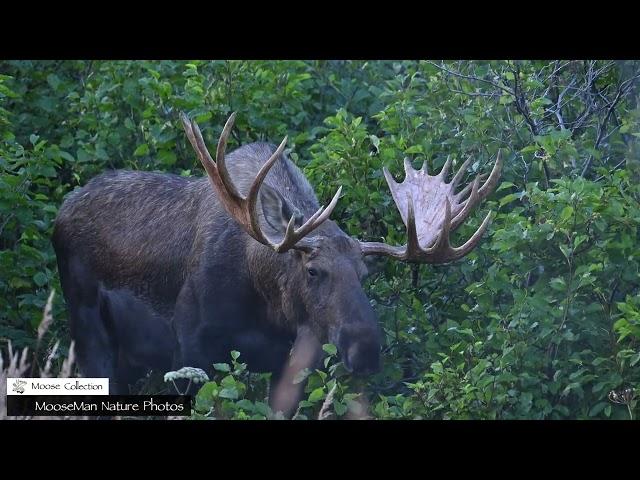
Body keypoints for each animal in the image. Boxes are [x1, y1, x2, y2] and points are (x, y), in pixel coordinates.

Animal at [51, 111, 500, 412]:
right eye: (313, 270)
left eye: (365, 273)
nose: (366, 350)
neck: (267, 304)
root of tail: (63, 209)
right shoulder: (190, 348)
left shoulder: (289, 364)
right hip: (87, 329)